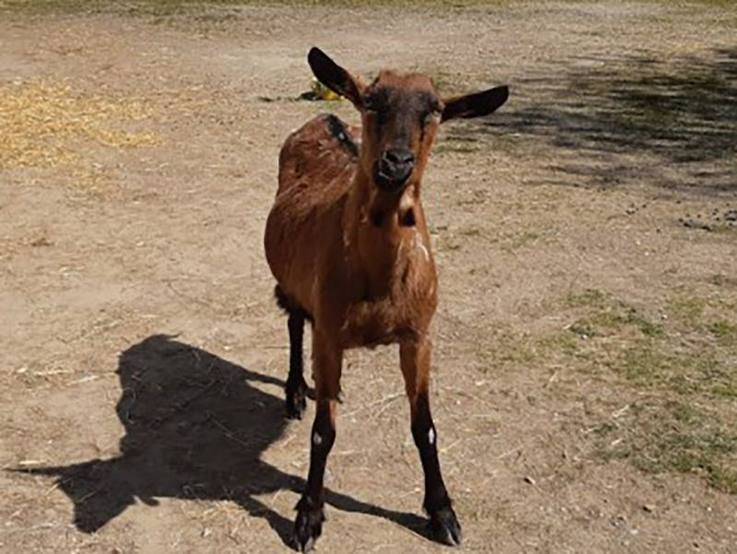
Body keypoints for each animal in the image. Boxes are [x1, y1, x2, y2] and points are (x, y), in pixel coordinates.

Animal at [264, 47, 509, 551]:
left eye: (434, 109)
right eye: (373, 100)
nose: (396, 163)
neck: (376, 280)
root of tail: (325, 115)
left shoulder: (419, 335)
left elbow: (425, 428)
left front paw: (442, 513)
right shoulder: (331, 331)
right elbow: (323, 433)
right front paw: (308, 517)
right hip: (292, 282)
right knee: (295, 322)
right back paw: (295, 393)